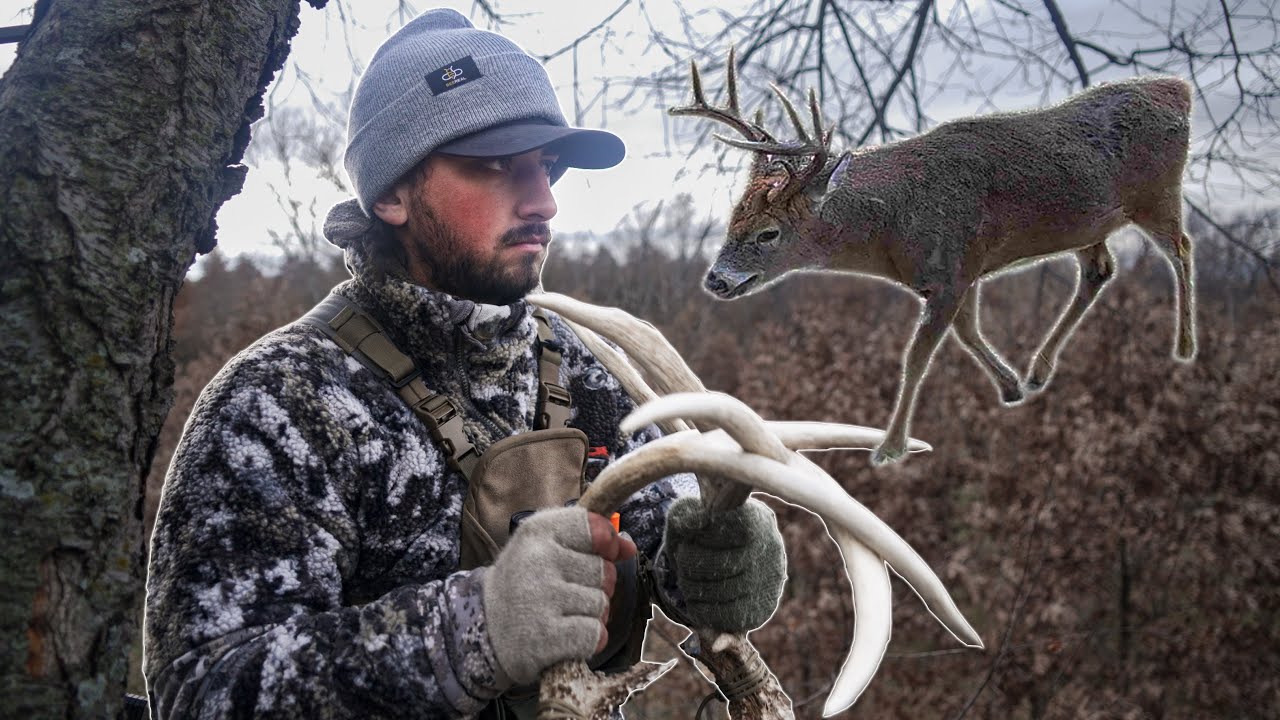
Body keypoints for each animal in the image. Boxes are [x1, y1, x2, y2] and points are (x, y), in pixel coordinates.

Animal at [670, 49, 1197, 466]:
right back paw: (1039, 371)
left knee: (1182, 251)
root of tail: (1178, 88)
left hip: (1158, 194)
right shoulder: (963, 271)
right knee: (1099, 271)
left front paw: (889, 448)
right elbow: (968, 333)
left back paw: (1185, 348)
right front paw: (1011, 387)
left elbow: (918, 357)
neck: (892, 227)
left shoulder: (951, 270)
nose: (715, 279)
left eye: (769, 232)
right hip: (1090, 224)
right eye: (732, 218)